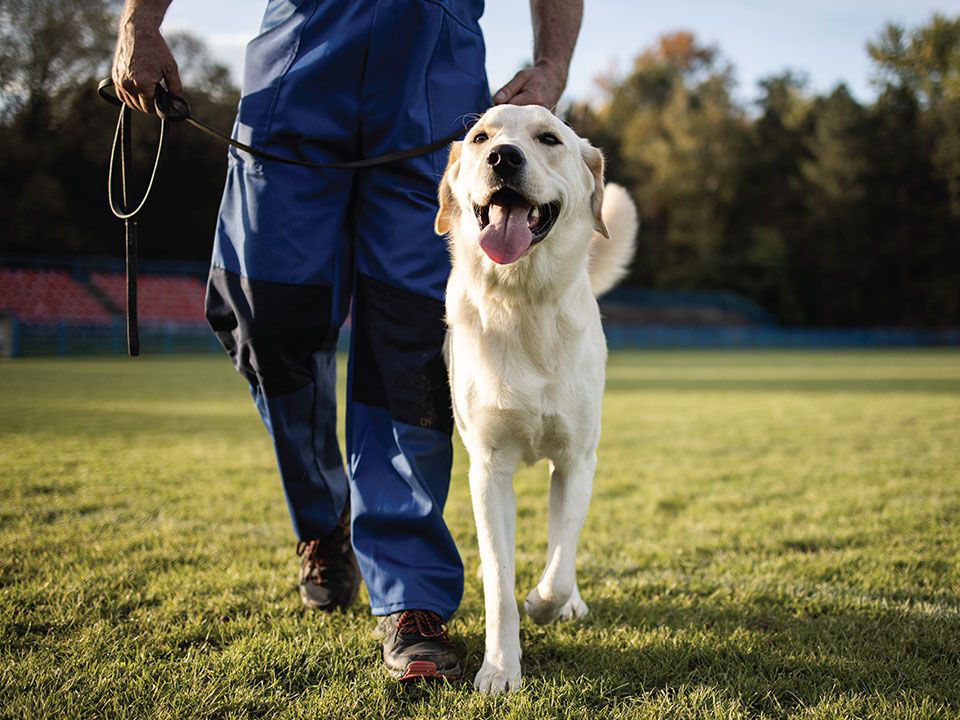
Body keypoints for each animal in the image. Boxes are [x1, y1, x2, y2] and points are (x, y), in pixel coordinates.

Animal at [436, 104, 636, 696]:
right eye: (481, 138)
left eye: (549, 139)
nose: (504, 157)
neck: (522, 301)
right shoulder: (488, 467)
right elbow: (500, 586)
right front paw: (501, 669)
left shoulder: (576, 461)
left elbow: (559, 562)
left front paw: (547, 603)